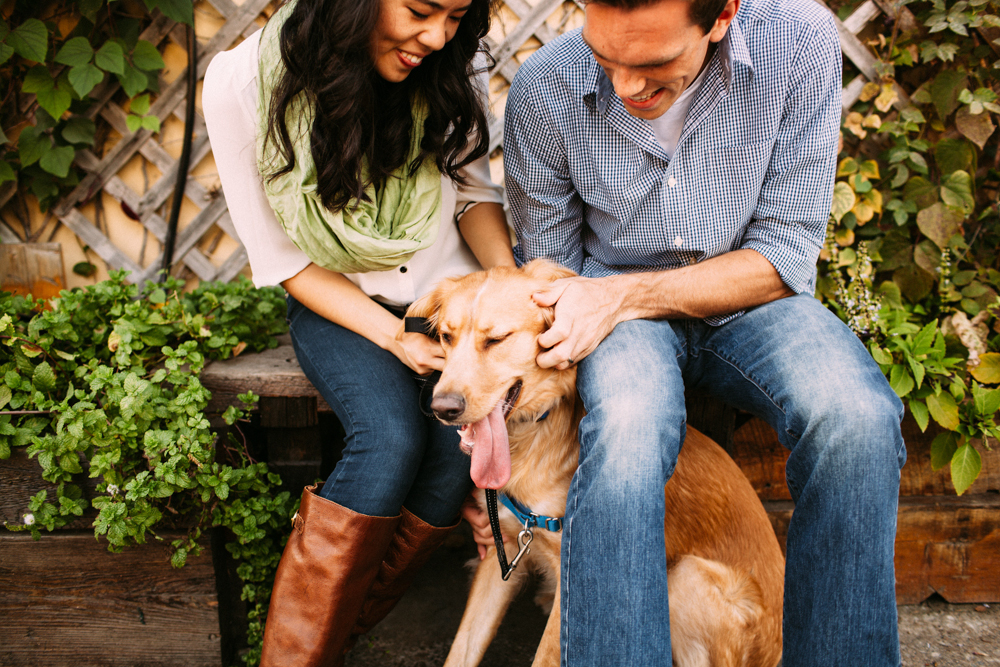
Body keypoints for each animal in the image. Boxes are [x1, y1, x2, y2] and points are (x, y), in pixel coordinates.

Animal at [402, 260, 784, 667]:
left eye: (497, 340)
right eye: (446, 337)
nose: (442, 408)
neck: (535, 433)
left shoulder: (571, 576)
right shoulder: (503, 547)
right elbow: (462, 648)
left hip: (687, 576)